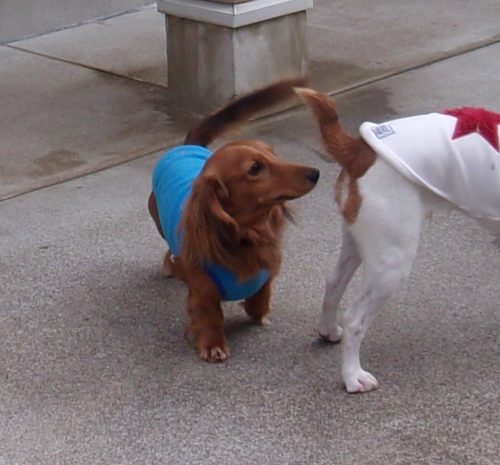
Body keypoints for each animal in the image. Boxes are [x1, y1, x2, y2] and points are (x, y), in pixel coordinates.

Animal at [148, 78, 320, 363]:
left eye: (273, 153)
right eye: (255, 168)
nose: (315, 173)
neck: (247, 235)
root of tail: (187, 146)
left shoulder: (269, 271)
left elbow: (262, 293)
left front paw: (259, 313)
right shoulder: (203, 289)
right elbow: (209, 315)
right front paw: (213, 344)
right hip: (158, 219)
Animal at [296, 87, 500, 393]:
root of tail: (359, 150)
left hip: (360, 245)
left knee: (333, 284)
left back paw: (328, 331)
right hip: (392, 263)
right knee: (355, 320)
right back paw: (352, 376)